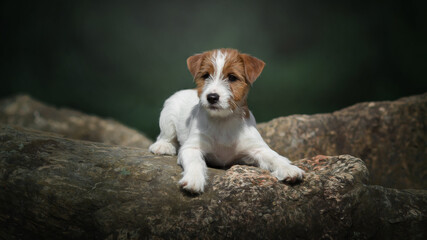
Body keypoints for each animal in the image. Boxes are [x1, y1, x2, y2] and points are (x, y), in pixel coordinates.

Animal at [150, 48, 304, 193]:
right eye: (206, 75)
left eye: (232, 77)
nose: (212, 97)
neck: (223, 120)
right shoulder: (191, 147)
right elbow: (195, 162)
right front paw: (194, 179)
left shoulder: (258, 148)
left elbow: (274, 157)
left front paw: (289, 168)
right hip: (168, 115)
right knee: (165, 135)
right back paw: (163, 146)